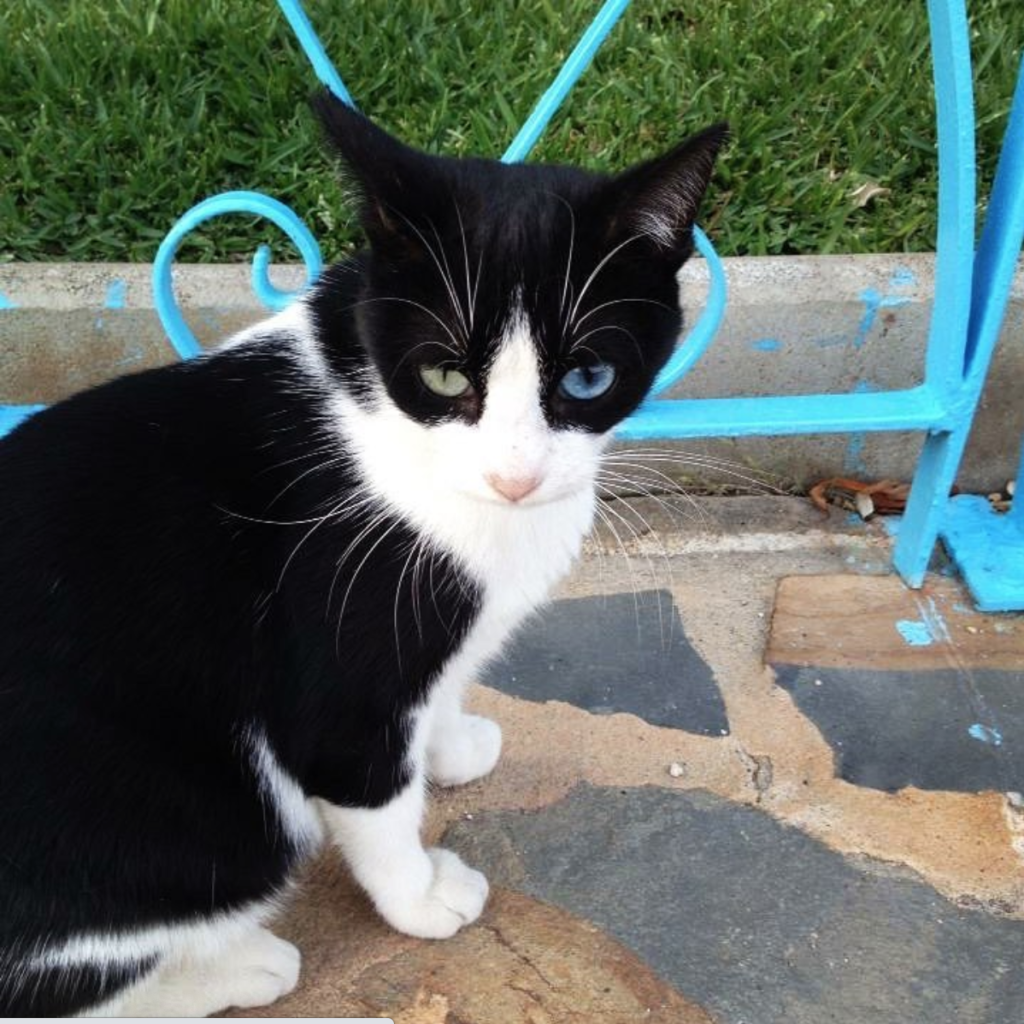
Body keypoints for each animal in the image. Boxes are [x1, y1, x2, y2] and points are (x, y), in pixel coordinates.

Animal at [0, 90, 729, 1015]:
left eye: (588, 379)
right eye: (446, 377)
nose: (516, 477)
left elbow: (437, 697)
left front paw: (449, 747)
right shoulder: (341, 657)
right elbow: (370, 788)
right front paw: (420, 896)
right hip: (199, 826)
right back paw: (241, 966)